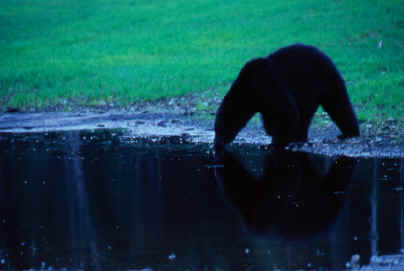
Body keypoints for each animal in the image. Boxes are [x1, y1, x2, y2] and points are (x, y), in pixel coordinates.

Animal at [215, 44, 360, 151]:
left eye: (219, 129)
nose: (216, 144)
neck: (249, 89)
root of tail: (325, 54)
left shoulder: (268, 84)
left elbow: (286, 112)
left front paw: (274, 143)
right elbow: (272, 117)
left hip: (326, 79)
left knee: (339, 104)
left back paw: (349, 133)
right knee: (306, 116)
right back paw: (300, 138)